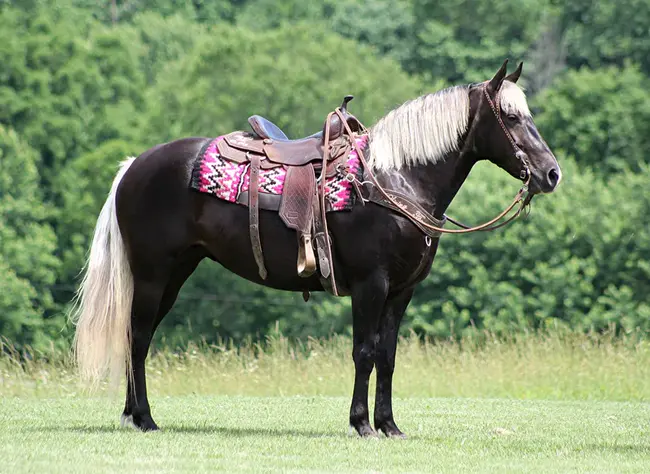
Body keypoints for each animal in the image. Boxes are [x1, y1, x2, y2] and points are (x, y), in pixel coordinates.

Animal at [69, 61, 556, 438]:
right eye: (510, 117)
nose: (551, 173)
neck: (394, 179)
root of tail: (135, 165)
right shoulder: (371, 285)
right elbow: (364, 352)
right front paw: (361, 424)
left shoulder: (402, 292)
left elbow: (387, 356)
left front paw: (389, 425)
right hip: (153, 274)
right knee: (138, 337)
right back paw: (145, 418)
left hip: (174, 274)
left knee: (139, 336)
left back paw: (134, 415)